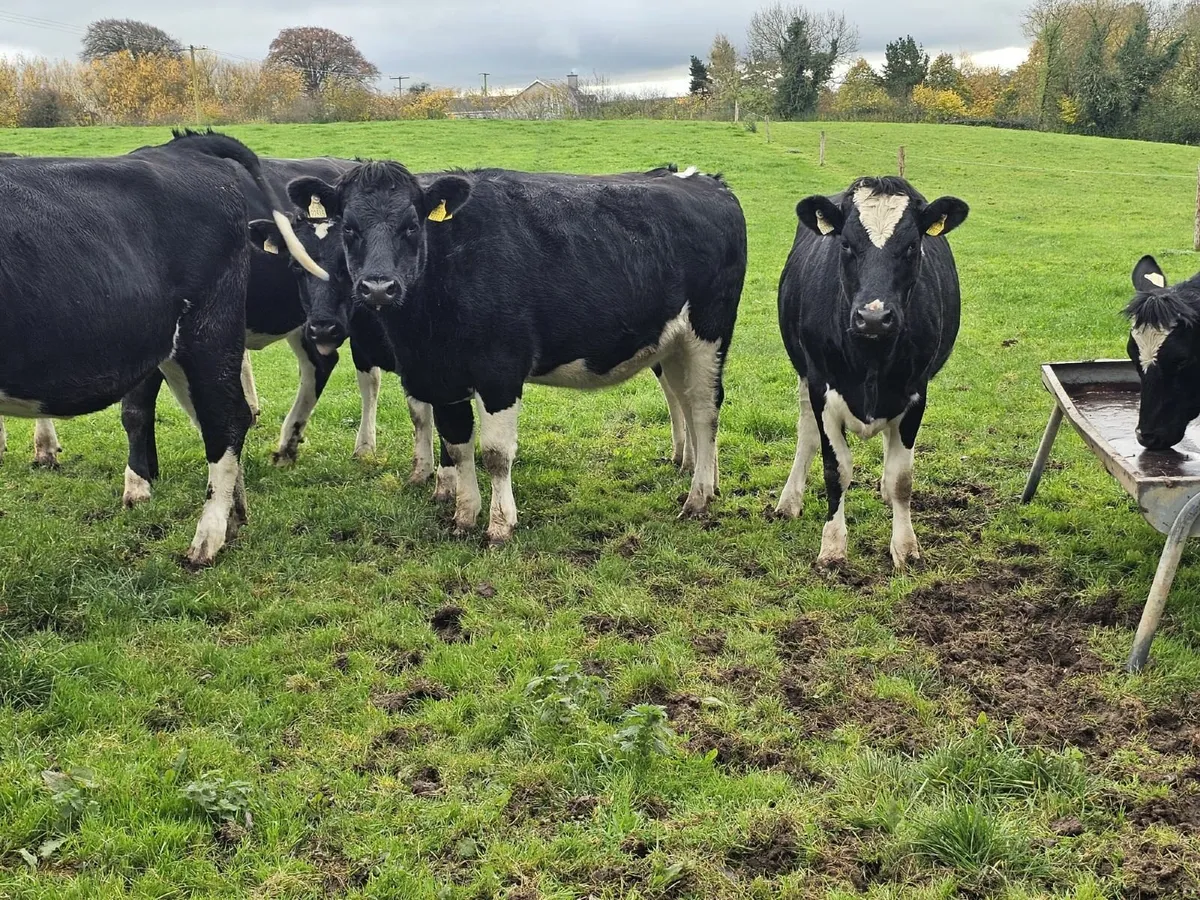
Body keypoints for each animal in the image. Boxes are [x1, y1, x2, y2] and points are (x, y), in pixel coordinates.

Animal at [0, 130, 327, 565]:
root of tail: (182, 148)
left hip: (208, 329)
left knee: (228, 418)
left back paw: (208, 538)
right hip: (177, 347)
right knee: (218, 416)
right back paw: (234, 516)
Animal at [247, 162, 746, 544]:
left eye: (412, 225)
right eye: (350, 228)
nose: (378, 287)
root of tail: (703, 179)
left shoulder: (499, 372)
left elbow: (494, 453)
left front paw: (500, 525)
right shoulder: (438, 377)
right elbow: (456, 444)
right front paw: (464, 515)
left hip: (708, 334)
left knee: (705, 408)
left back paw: (698, 497)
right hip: (674, 343)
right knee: (685, 400)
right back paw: (702, 476)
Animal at [774, 175, 968, 570]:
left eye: (912, 246)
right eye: (846, 244)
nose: (874, 317)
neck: (872, 359)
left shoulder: (915, 394)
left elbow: (901, 478)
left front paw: (906, 547)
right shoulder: (821, 388)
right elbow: (836, 470)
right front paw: (832, 546)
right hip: (803, 377)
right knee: (806, 435)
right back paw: (790, 500)